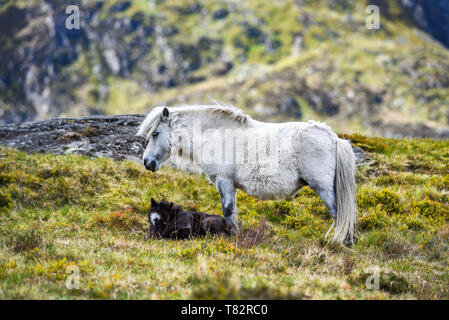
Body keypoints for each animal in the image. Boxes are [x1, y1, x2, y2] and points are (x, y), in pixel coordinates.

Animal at [136, 104, 356, 245]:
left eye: (155, 133)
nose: (147, 162)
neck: (216, 136)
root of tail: (334, 138)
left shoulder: (224, 182)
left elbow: (228, 212)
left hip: (323, 188)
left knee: (338, 214)